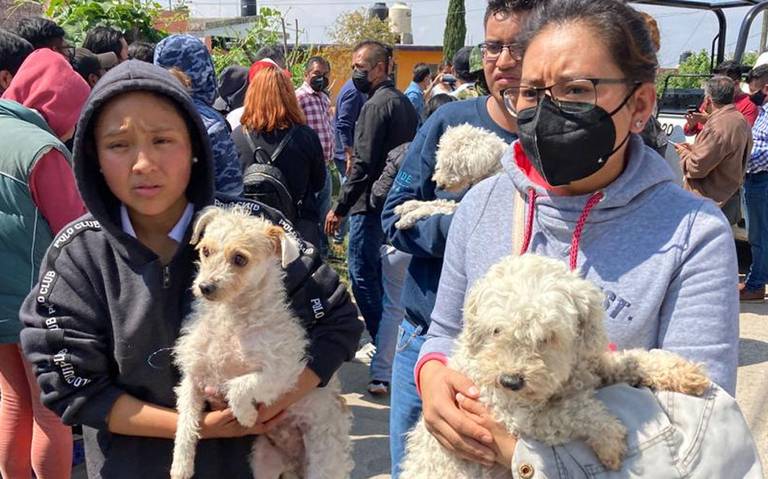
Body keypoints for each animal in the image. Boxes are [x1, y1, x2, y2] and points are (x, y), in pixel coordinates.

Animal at [170, 207, 352, 479]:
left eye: (240, 259)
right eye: (206, 251)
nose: (205, 287)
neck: (230, 319)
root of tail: (294, 464)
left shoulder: (282, 375)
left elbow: (238, 386)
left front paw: (246, 416)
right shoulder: (193, 379)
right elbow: (186, 422)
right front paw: (181, 466)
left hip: (323, 462)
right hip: (265, 462)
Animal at [400, 255, 712, 476]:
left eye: (547, 336)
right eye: (496, 330)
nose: (510, 381)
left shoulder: (591, 366)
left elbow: (632, 358)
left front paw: (685, 372)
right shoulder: (509, 415)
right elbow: (575, 411)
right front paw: (609, 439)